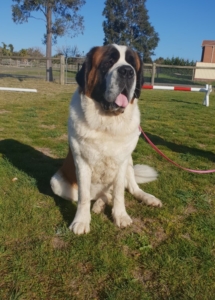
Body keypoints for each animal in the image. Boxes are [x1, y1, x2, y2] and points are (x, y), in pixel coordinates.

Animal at [50, 43, 161, 234]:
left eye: (133, 64)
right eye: (108, 62)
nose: (127, 71)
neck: (108, 122)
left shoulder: (123, 161)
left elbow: (119, 193)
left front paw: (120, 216)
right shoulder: (82, 162)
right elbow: (83, 197)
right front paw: (81, 221)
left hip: (130, 162)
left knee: (131, 188)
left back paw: (147, 198)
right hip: (56, 183)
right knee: (98, 195)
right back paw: (98, 205)